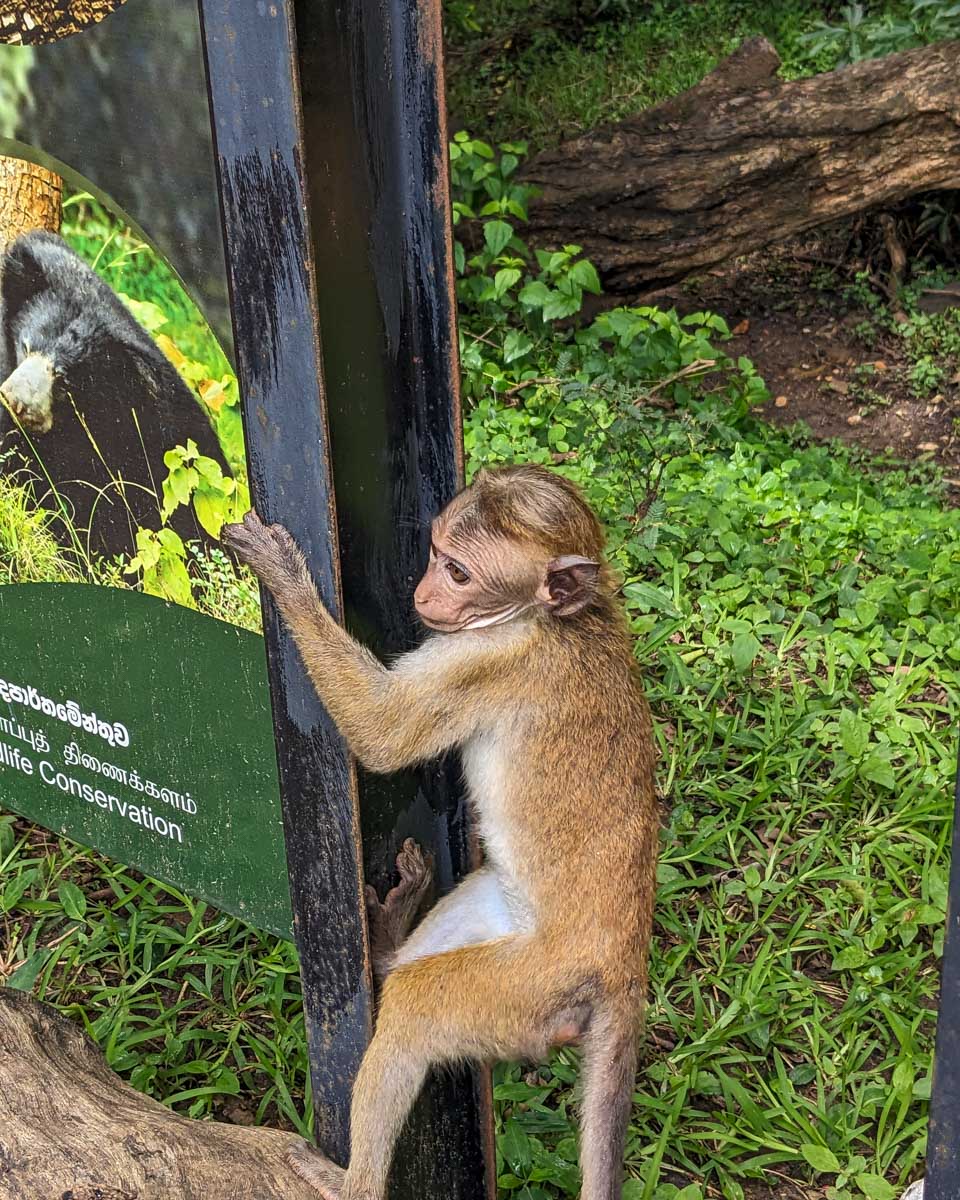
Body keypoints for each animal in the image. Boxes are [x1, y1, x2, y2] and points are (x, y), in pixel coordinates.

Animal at [222, 463, 659, 1200]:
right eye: (434, 553)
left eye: (459, 571)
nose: (424, 592)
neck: (550, 618)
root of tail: (624, 971)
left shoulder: (485, 659)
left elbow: (381, 736)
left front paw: (286, 579)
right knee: (418, 968)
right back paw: (391, 942)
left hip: (534, 986)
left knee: (417, 1007)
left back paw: (351, 1183)